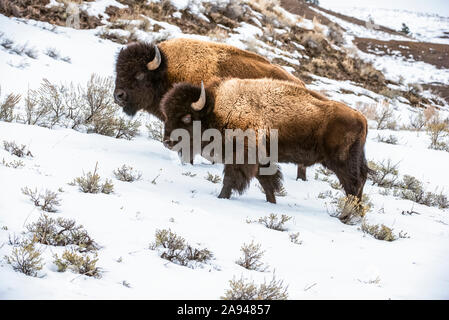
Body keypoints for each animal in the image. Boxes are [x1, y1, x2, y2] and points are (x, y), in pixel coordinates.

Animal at [159, 79, 370, 205]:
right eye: (166, 114)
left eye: (187, 117)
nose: (167, 141)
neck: (218, 110)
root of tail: (362, 118)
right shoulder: (262, 160)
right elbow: (268, 182)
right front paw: (272, 202)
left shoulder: (241, 157)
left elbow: (231, 179)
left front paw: (222, 197)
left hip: (341, 162)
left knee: (354, 184)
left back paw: (347, 215)